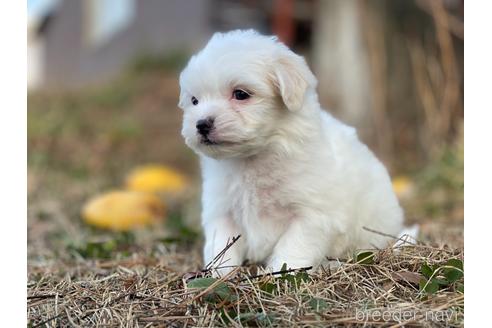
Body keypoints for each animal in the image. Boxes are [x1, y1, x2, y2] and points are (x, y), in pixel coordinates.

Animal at [177, 30, 404, 272]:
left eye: (240, 94)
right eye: (194, 100)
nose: (201, 124)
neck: (252, 159)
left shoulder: (312, 214)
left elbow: (293, 249)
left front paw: (278, 274)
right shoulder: (222, 212)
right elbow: (221, 247)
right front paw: (219, 274)